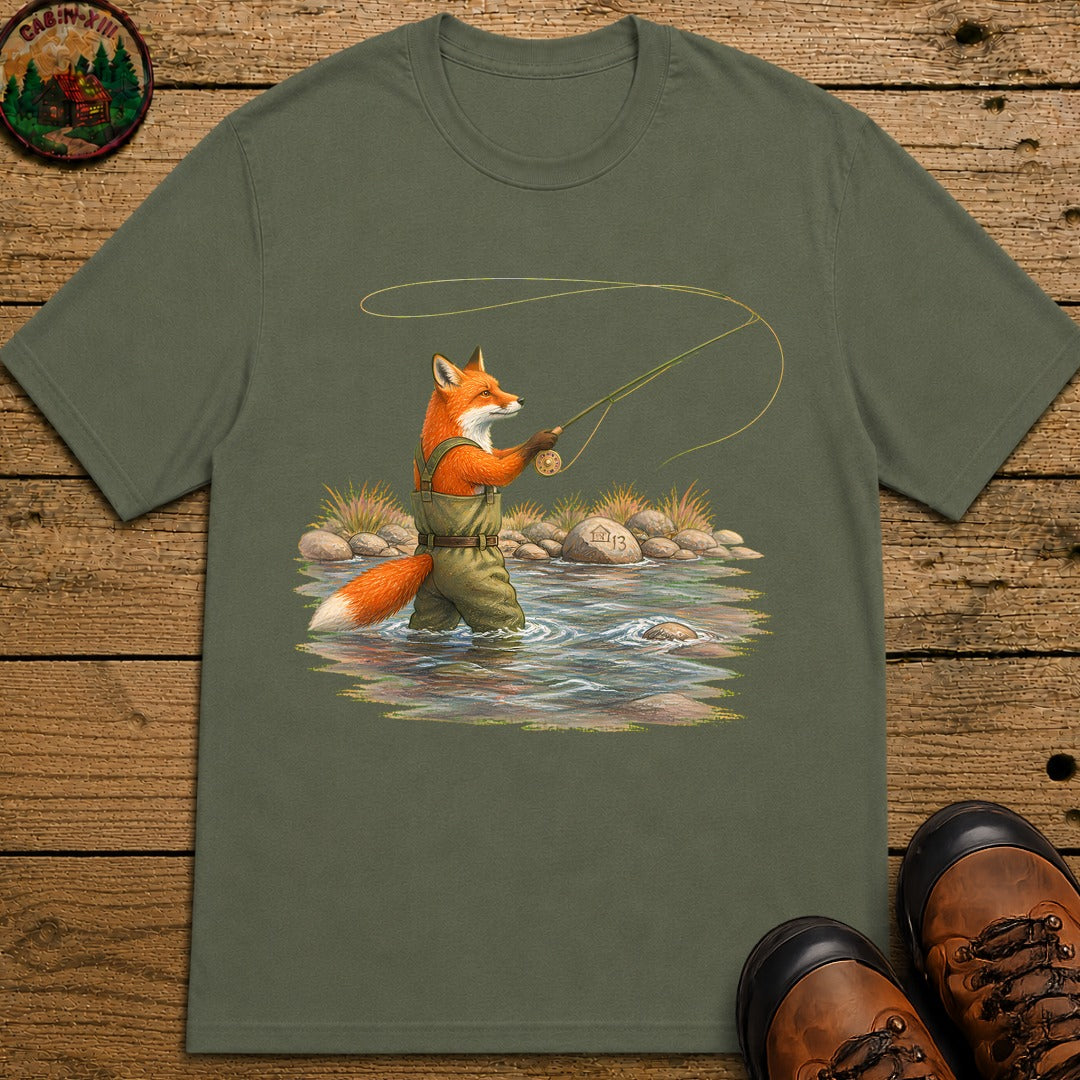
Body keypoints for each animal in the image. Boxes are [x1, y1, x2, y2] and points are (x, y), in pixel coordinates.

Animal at [307, 346, 560, 634]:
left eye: (498, 387)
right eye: (485, 393)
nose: (521, 399)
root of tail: (431, 557)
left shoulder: (489, 454)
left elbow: (503, 453)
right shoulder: (468, 461)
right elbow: (503, 469)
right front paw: (541, 439)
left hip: (431, 598)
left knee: (428, 618)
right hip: (484, 592)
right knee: (499, 615)